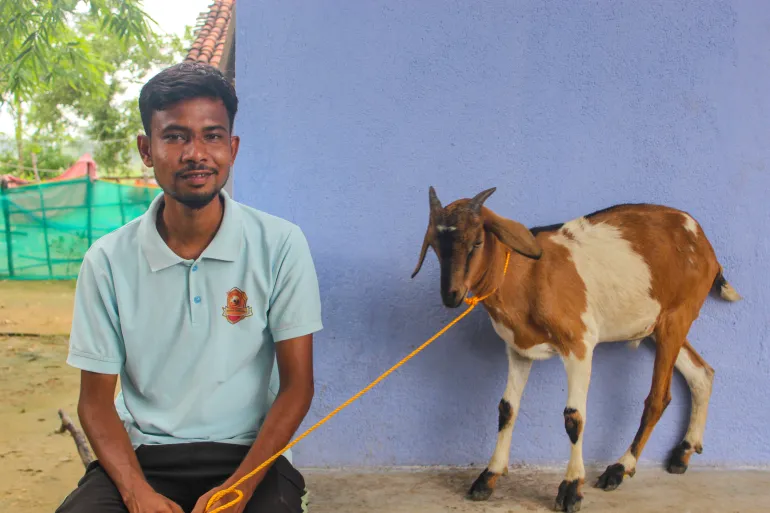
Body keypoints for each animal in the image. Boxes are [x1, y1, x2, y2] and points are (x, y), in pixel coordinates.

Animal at [411, 186, 741, 513]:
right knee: (701, 373)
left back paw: (620, 469)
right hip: (656, 325)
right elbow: (507, 409)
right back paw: (683, 453)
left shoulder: (579, 344)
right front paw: (487, 478)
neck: (528, 276)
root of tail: (704, 244)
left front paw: (571, 489)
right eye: (435, 246)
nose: (451, 295)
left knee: (659, 398)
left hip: (677, 316)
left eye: (477, 241)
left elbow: (574, 417)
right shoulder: (518, 350)